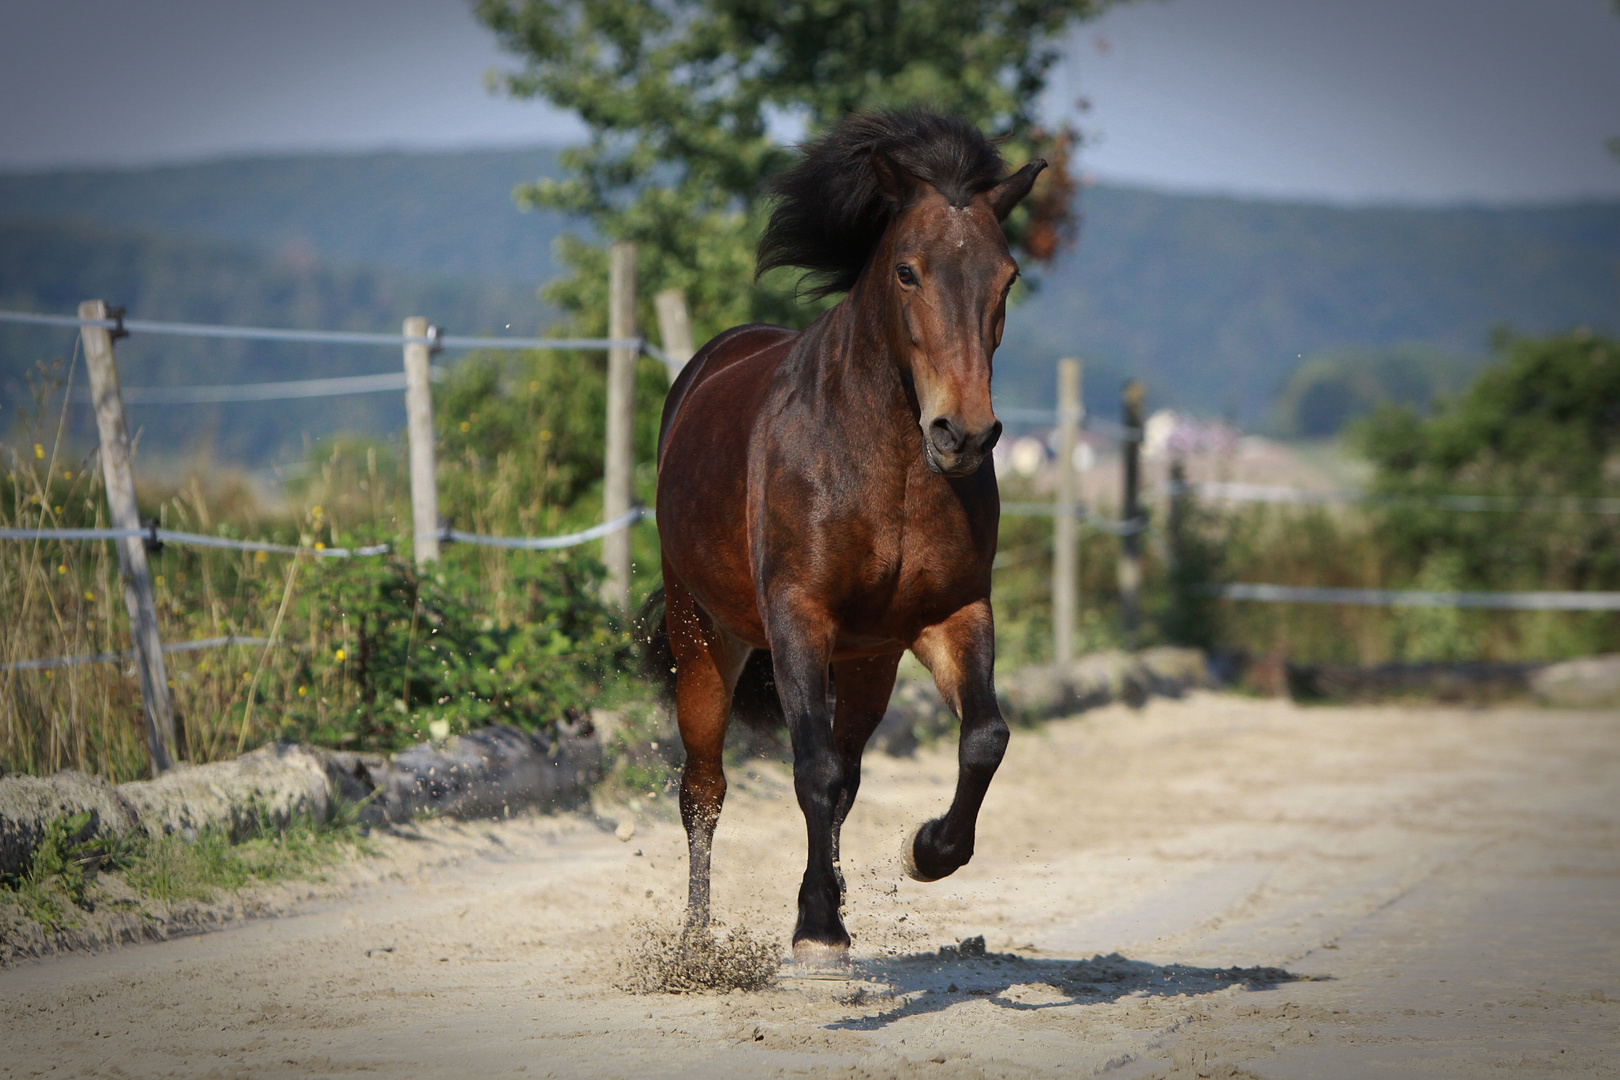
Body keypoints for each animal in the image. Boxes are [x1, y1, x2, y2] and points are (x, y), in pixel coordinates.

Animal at [648, 107, 1043, 971]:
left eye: (1007, 278)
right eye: (907, 271)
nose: (963, 434)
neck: (886, 464)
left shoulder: (950, 615)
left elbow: (984, 739)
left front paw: (924, 851)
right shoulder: (799, 617)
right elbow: (813, 770)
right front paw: (819, 935)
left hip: (869, 662)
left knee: (851, 774)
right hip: (706, 633)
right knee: (705, 789)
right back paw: (695, 944)